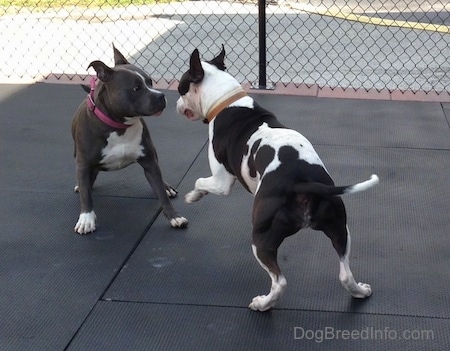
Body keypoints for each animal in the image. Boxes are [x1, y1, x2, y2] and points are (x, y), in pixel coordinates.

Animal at [177, 47, 380, 314]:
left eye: (180, 87)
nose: (176, 104)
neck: (227, 100)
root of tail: (300, 181)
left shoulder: (222, 182)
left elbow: (201, 181)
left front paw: (193, 196)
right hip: (339, 226)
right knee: (345, 272)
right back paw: (360, 291)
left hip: (261, 239)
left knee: (279, 281)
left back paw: (264, 304)